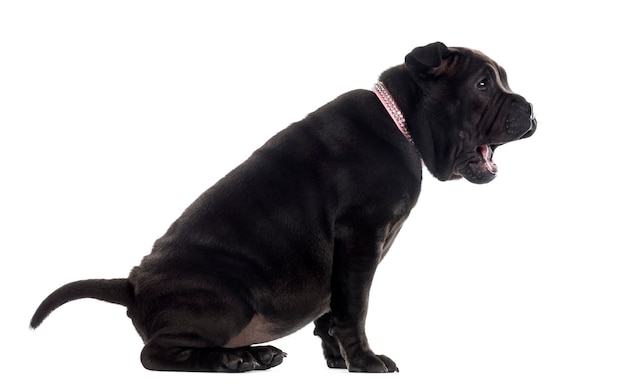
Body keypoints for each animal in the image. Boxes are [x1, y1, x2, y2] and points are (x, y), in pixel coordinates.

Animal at [30, 41, 536, 372]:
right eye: (483, 84)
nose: (531, 109)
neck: (405, 124)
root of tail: (132, 284)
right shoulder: (359, 237)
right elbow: (354, 306)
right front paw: (365, 361)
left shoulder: (349, 253)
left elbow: (333, 311)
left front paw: (338, 359)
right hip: (227, 299)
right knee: (153, 354)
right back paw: (232, 360)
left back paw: (255, 354)